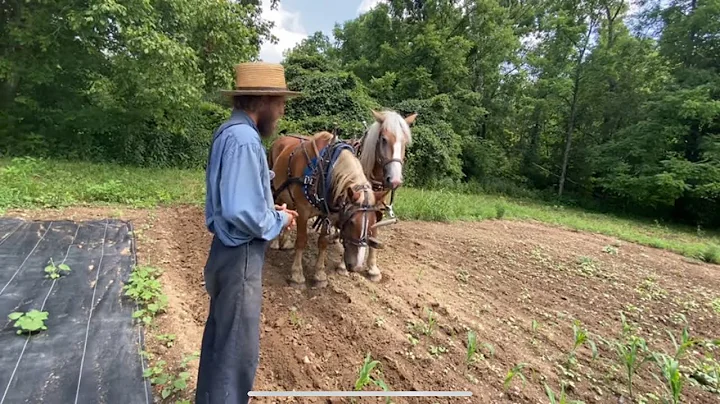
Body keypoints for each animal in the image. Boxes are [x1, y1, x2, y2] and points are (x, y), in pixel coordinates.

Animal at [268, 130, 386, 288]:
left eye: (373, 223)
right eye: (351, 222)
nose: (357, 266)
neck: (325, 167)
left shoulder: (328, 215)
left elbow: (323, 242)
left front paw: (319, 275)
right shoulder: (303, 211)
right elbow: (301, 241)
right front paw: (297, 275)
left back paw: (285, 242)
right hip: (275, 189)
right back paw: (275, 243)